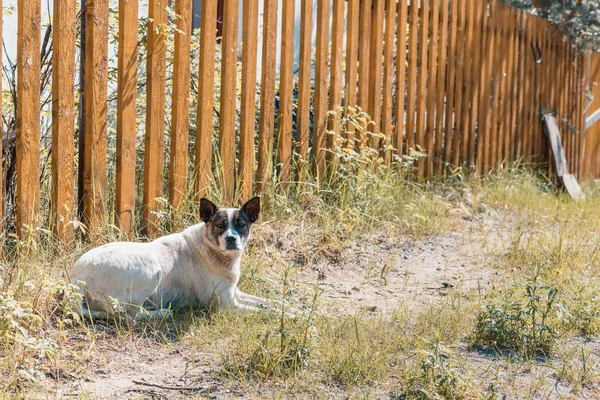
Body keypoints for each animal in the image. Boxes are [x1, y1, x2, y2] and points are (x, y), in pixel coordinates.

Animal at [69, 195, 278, 320]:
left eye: (241, 224)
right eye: (220, 225)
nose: (231, 239)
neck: (212, 250)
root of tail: (77, 278)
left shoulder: (236, 293)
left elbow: (270, 302)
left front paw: (284, 305)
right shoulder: (228, 305)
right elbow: (264, 310)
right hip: (151, 265)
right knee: (131, 315)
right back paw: (163, 312)